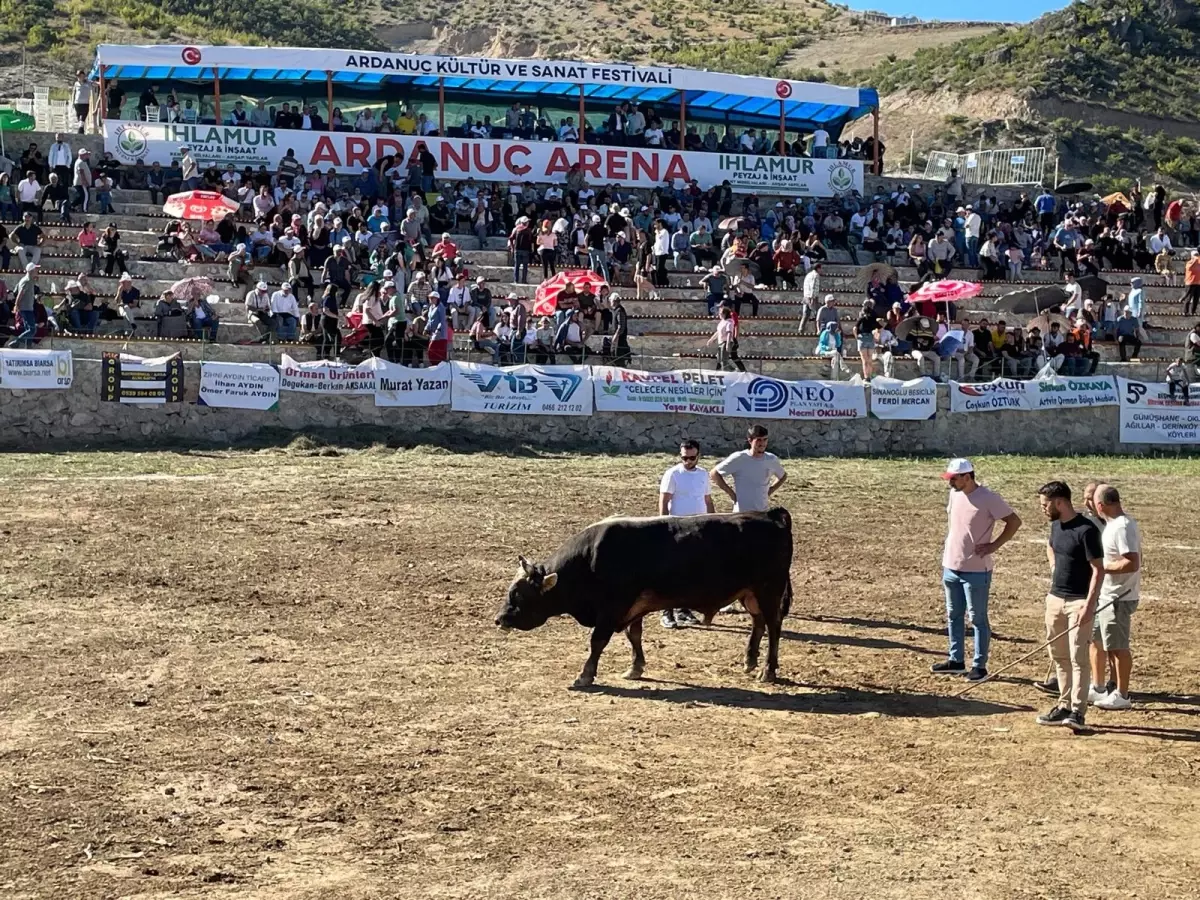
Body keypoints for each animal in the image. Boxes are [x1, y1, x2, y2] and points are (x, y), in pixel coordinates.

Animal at [492, 508, 792, 691]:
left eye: (517, 593)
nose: (498, 619)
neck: (591, 558)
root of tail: (770, 514)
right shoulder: (632, 609)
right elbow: (633, 635)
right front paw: (635, 668)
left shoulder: (612, 607)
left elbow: (597, 641)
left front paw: (585, 675)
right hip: (750, 594)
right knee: (758, 623)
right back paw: (750, 661)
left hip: (768, 591)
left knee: (773, 626)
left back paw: (767, 671)